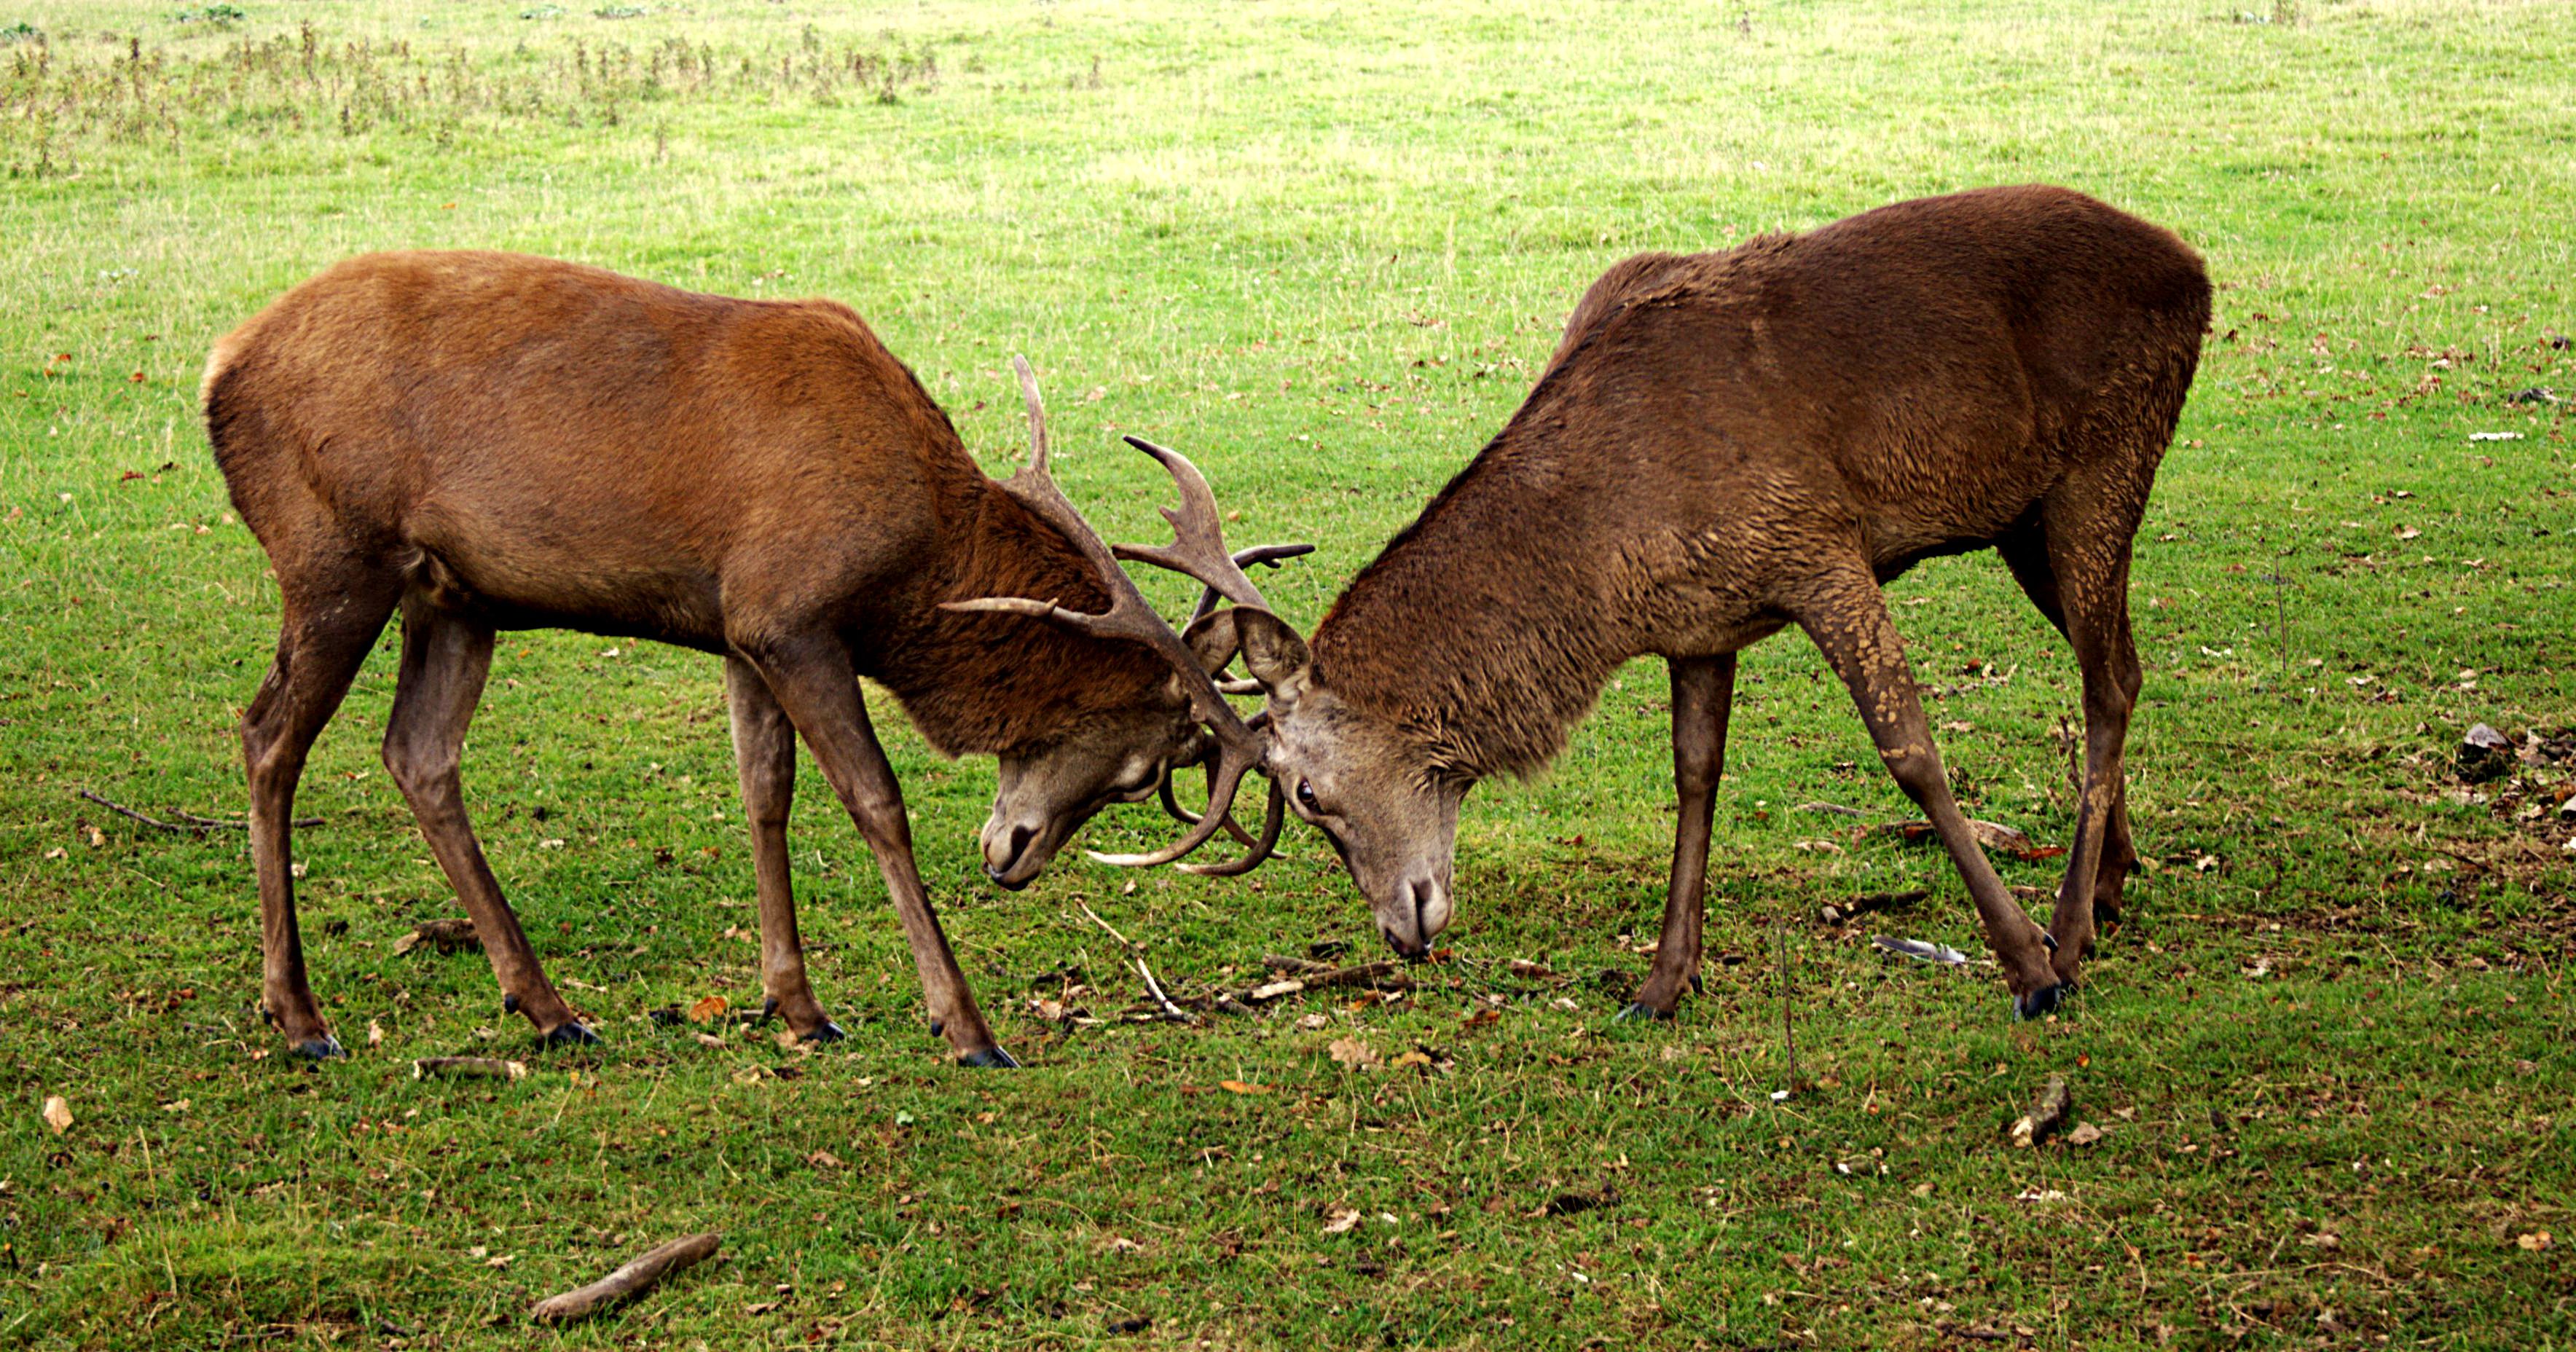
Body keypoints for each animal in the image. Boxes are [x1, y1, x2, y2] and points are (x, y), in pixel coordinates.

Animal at [202, 251, 1299, 1066]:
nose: (1012, 860)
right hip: (332, 555)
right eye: (1144, 769)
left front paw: (797, 1006)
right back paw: (298, 1016)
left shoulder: (740, 629)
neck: (913, 567)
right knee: (267, 735)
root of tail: (219, 366)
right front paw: (965, 1024)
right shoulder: (793, 615)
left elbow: (764, 791)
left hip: (454, 594)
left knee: (419, 753)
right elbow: (875, 800)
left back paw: (550, 1008)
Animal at [1101, 186, 2212, 1021]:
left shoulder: (1817, 546)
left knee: (2107, 680)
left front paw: (2026, 969)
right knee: (2120, 664)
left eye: (1305, 793)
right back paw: (2108, 885)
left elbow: (1910, 753)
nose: (1399, 931)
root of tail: (2195, 269)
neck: (1604, 561)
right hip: (2029, 518)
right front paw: (1661, 982)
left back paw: (2069, 930)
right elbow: (1694, 779)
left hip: (2107, 458)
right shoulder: (1701, 622)